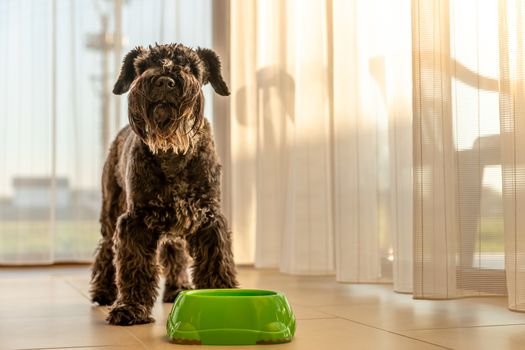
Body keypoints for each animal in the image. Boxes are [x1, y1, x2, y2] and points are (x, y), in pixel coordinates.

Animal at [89, 43, 237, 326]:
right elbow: (134, 267)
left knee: (174, 250)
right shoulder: (135, 220)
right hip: (111, 211)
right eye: (144, 66)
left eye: (191, 66)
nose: (165, 81)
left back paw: (177, 287)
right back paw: (103, 291)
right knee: (106, 249)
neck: (172, 152)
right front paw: (130, 307)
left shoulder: (209, 218)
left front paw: (223, 299)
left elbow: (216, 261)